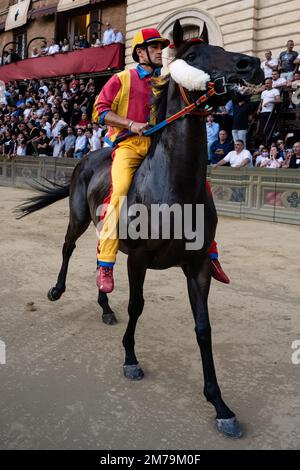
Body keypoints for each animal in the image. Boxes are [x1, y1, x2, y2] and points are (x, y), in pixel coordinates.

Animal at [17, 20, 264, 438]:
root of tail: (89, 156)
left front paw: (220, 406)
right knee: (68, 248)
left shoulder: (198, 265)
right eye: (194, 54)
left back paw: (104, 306)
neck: (174, 187)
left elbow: (203, 328)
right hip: (79, 217)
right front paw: (130, 359)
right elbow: (137, 305)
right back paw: (57, 290)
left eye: (221, 48)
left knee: (99, 261)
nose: (253, 65)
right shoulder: (140, 258)